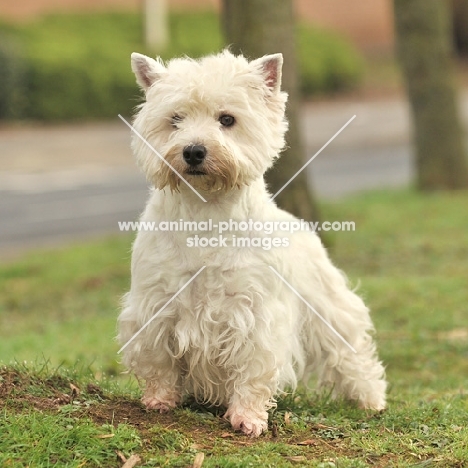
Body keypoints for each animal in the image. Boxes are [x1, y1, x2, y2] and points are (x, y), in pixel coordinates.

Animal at [118, 49, 388, 436]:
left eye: (227, 119)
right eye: (175, 119)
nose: (194, 152)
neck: (207, 210)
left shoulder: (256, 312)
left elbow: (253, 368)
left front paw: (247, 417)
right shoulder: (154, 302)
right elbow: (157, 359)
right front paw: (160, 399)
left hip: (326, 304)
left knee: (351, 350)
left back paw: (371, 400)